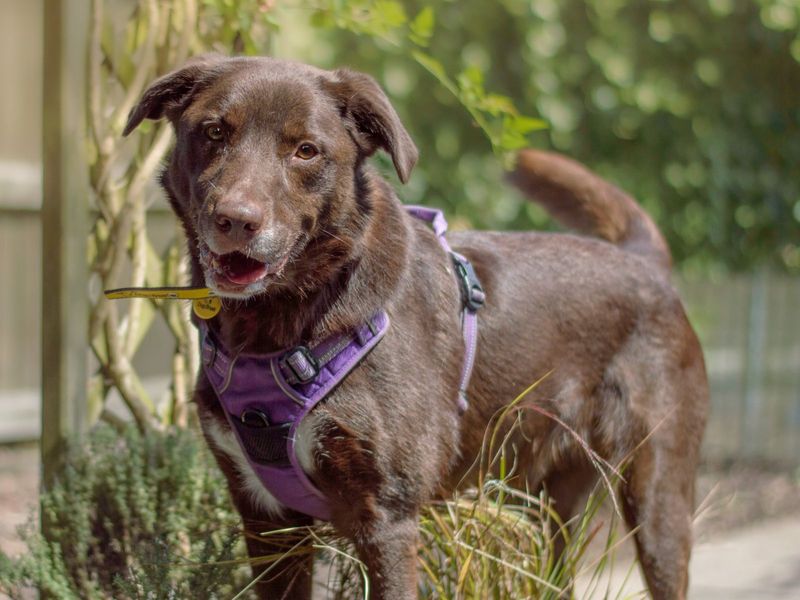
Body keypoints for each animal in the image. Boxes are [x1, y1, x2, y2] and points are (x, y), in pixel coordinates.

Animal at [126, 54, 712, 596]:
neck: (280, 327)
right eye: (214, 132)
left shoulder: (387, 519)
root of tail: (643, 263)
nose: (236, 220)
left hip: (656, 496)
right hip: (540, 505)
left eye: (305, 150)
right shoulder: (267, 519)